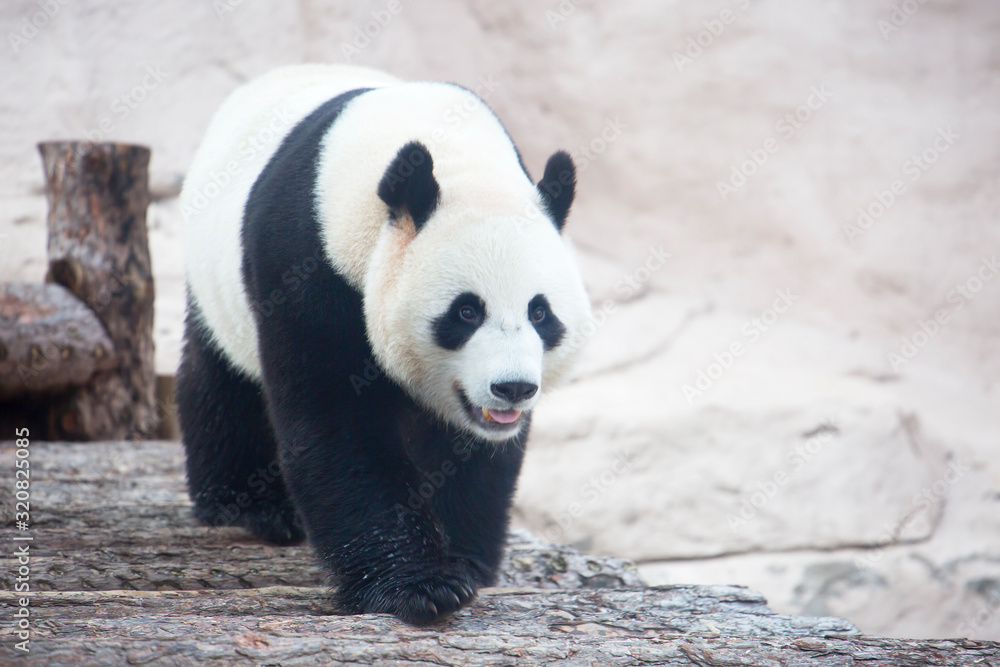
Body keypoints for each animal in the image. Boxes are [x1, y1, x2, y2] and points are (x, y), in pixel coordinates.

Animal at [176, 64, 591, 625]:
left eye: (540, 313)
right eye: (467, 312)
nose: (513, 388)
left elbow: (472, 455)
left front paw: (466, 560)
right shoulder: (307, 264)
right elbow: (338, 427)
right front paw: (421, 586)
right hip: (216, 285)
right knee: (221, 378)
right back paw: (246, 504)